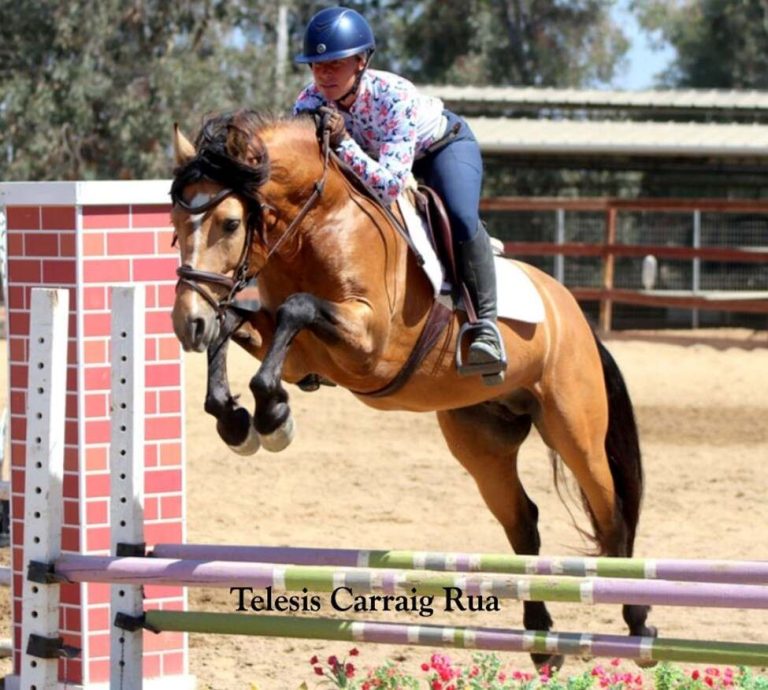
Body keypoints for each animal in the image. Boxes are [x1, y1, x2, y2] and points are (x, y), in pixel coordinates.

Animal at [169, 109, 656, 667]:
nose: (186, 324)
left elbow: (296, 307)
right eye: (174, 226)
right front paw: (236, 419)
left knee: (611, 513)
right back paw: (540, 640)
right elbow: (236, 322)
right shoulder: (300, 355)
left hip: (573, 428)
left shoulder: (368, 342)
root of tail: (572, 313)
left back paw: (638, 624)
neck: (319, 222)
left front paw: (271, 418)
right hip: (481, 441)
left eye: (230, 223)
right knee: (523, 522)